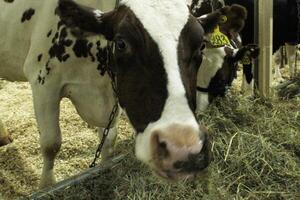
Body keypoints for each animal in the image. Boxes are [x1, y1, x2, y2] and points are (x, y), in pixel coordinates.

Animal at [0, 0, 225, 188]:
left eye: (201, 45)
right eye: (121, 43)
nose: (181, 148)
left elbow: (108, 140)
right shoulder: (44, 81)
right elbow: (51, 144)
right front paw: (47, 186)